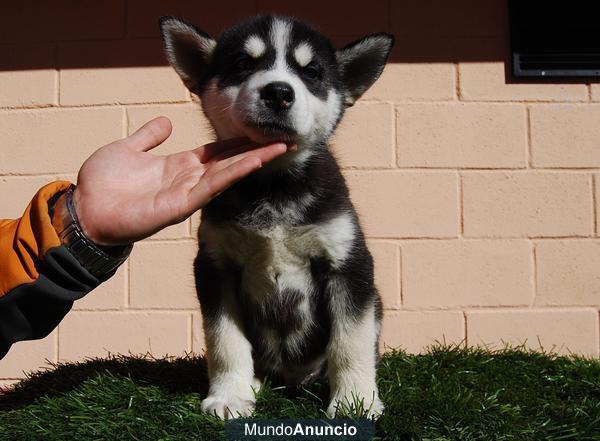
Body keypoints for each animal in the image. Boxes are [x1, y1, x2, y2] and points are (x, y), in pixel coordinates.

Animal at [159, 14, 394, 420]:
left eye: (312, 72)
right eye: (242, 63)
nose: (279, 92)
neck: (274, 186)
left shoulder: (349, 263)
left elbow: (352, 341)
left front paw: (355, 401)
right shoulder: (214, 266)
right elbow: (224, 341)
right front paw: (230, 395)